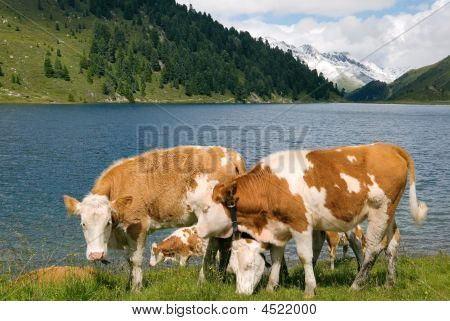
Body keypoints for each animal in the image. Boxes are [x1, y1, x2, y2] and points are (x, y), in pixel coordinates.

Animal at [62, 145, 246, 290]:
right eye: (83, 224)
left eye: (107, 223)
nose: (96, 255)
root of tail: (231, 155)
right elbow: (128, 260)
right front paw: (129, 286)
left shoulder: (138, 226)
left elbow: (135, 260)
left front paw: (136, 289)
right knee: (224, 245)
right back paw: (219, 277)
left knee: (213, 246)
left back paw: (202, 281)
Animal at [195, 144, 428, 296]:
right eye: (232, 269)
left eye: (249, 265)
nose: (241, 294)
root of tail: (388, 147)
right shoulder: (278, 228)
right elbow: (277, 257)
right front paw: (271, 287)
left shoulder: (301, 224)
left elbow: (305, 257)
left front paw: (309, 289)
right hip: (390, 212)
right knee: (392, 244)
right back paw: (389, 283)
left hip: (380, 211)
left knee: (372, 249)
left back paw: (356, 285)